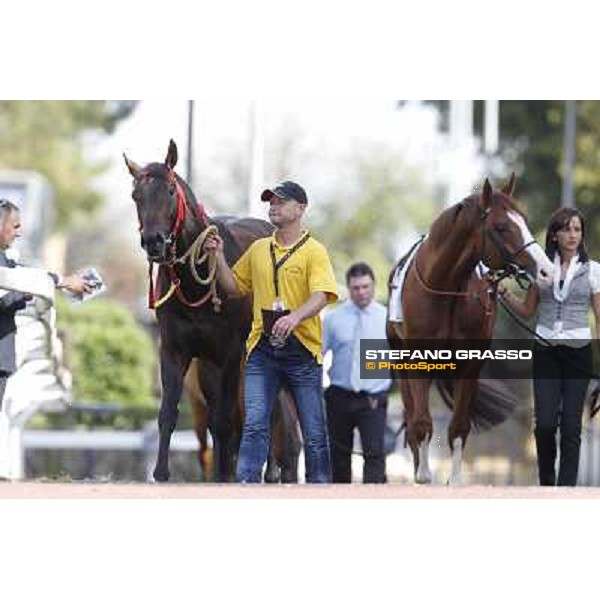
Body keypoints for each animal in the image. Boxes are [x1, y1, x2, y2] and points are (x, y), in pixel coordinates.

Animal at [123, 139, 300, 482]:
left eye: (169, 191)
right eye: (137, 195)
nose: (153, 241)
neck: (197, 284)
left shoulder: (230, 352)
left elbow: (226, 419)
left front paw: (225, 474)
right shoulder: (176, 349)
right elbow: (169, 412)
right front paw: (162, 473)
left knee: (274, 413)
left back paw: (275, 472)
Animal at [390, 176, 552, 486]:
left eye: (525, 220)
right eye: (501, 227)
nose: (547, 271)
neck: (446, 287)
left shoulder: (470, 364)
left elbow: (459, 425)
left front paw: (453, 479)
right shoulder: (417, 360)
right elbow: (421, 421)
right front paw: (423, 475)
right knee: (411, 414)